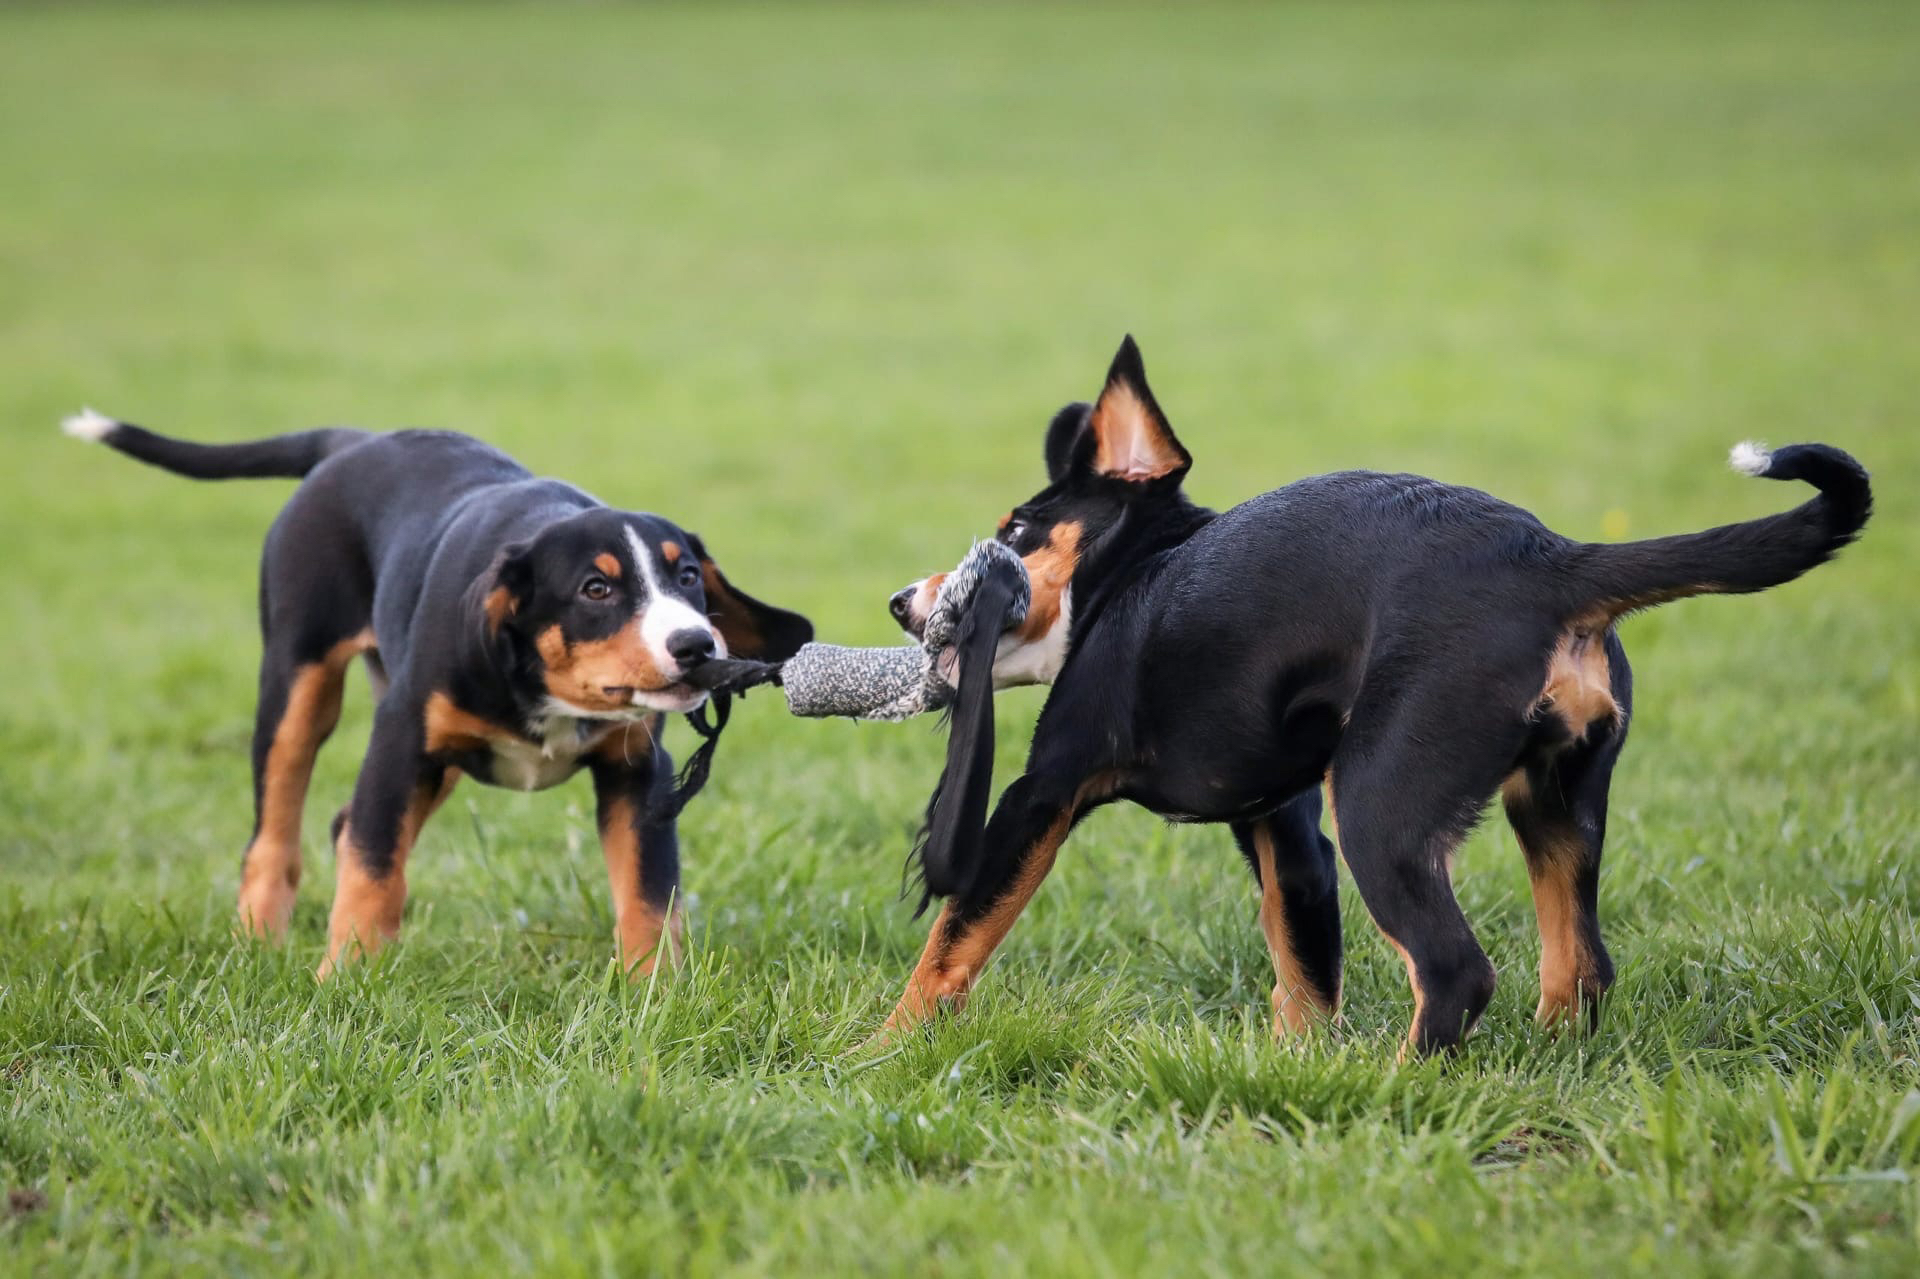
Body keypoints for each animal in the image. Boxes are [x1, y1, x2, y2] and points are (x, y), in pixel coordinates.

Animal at [67, 410, 810, 975]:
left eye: (686, 578)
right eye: (596, 589)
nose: (696, 645)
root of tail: (355, 440)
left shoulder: (638, 772)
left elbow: (649, 892)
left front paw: (653, 990)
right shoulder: (397, 744)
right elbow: (374, 866)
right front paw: (346, 980)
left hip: (436, 759)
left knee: (341, 824)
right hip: (300, 683)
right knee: (276, 837)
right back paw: (258, 943)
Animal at [883, 334, 1873, 1052]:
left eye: (1017, 529)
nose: (901, 601)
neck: (1136, 571)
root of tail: (1552, 560)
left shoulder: (1040, 792)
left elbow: (949, 945)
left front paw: (880, 1054)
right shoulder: (1283, 827)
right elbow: (1302, 967)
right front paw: (1295, 1069)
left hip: (1379, 804)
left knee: (1457, 970)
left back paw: (1398, 1088)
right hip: (1554, 802)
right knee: (1581, 967)